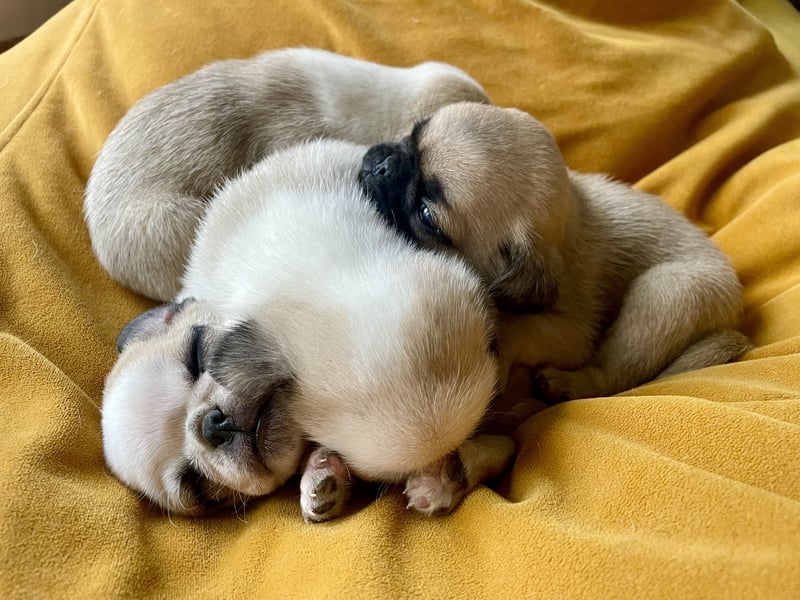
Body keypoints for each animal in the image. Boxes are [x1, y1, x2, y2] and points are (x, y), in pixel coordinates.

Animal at [362, 102, 752, 404]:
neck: (573, 220)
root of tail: (734, 311)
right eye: (413, 135)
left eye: (427, 216)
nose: (381, 165)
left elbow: (521, 328)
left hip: (665, 294)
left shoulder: (572, 332)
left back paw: (568, 384)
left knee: (612, 373)